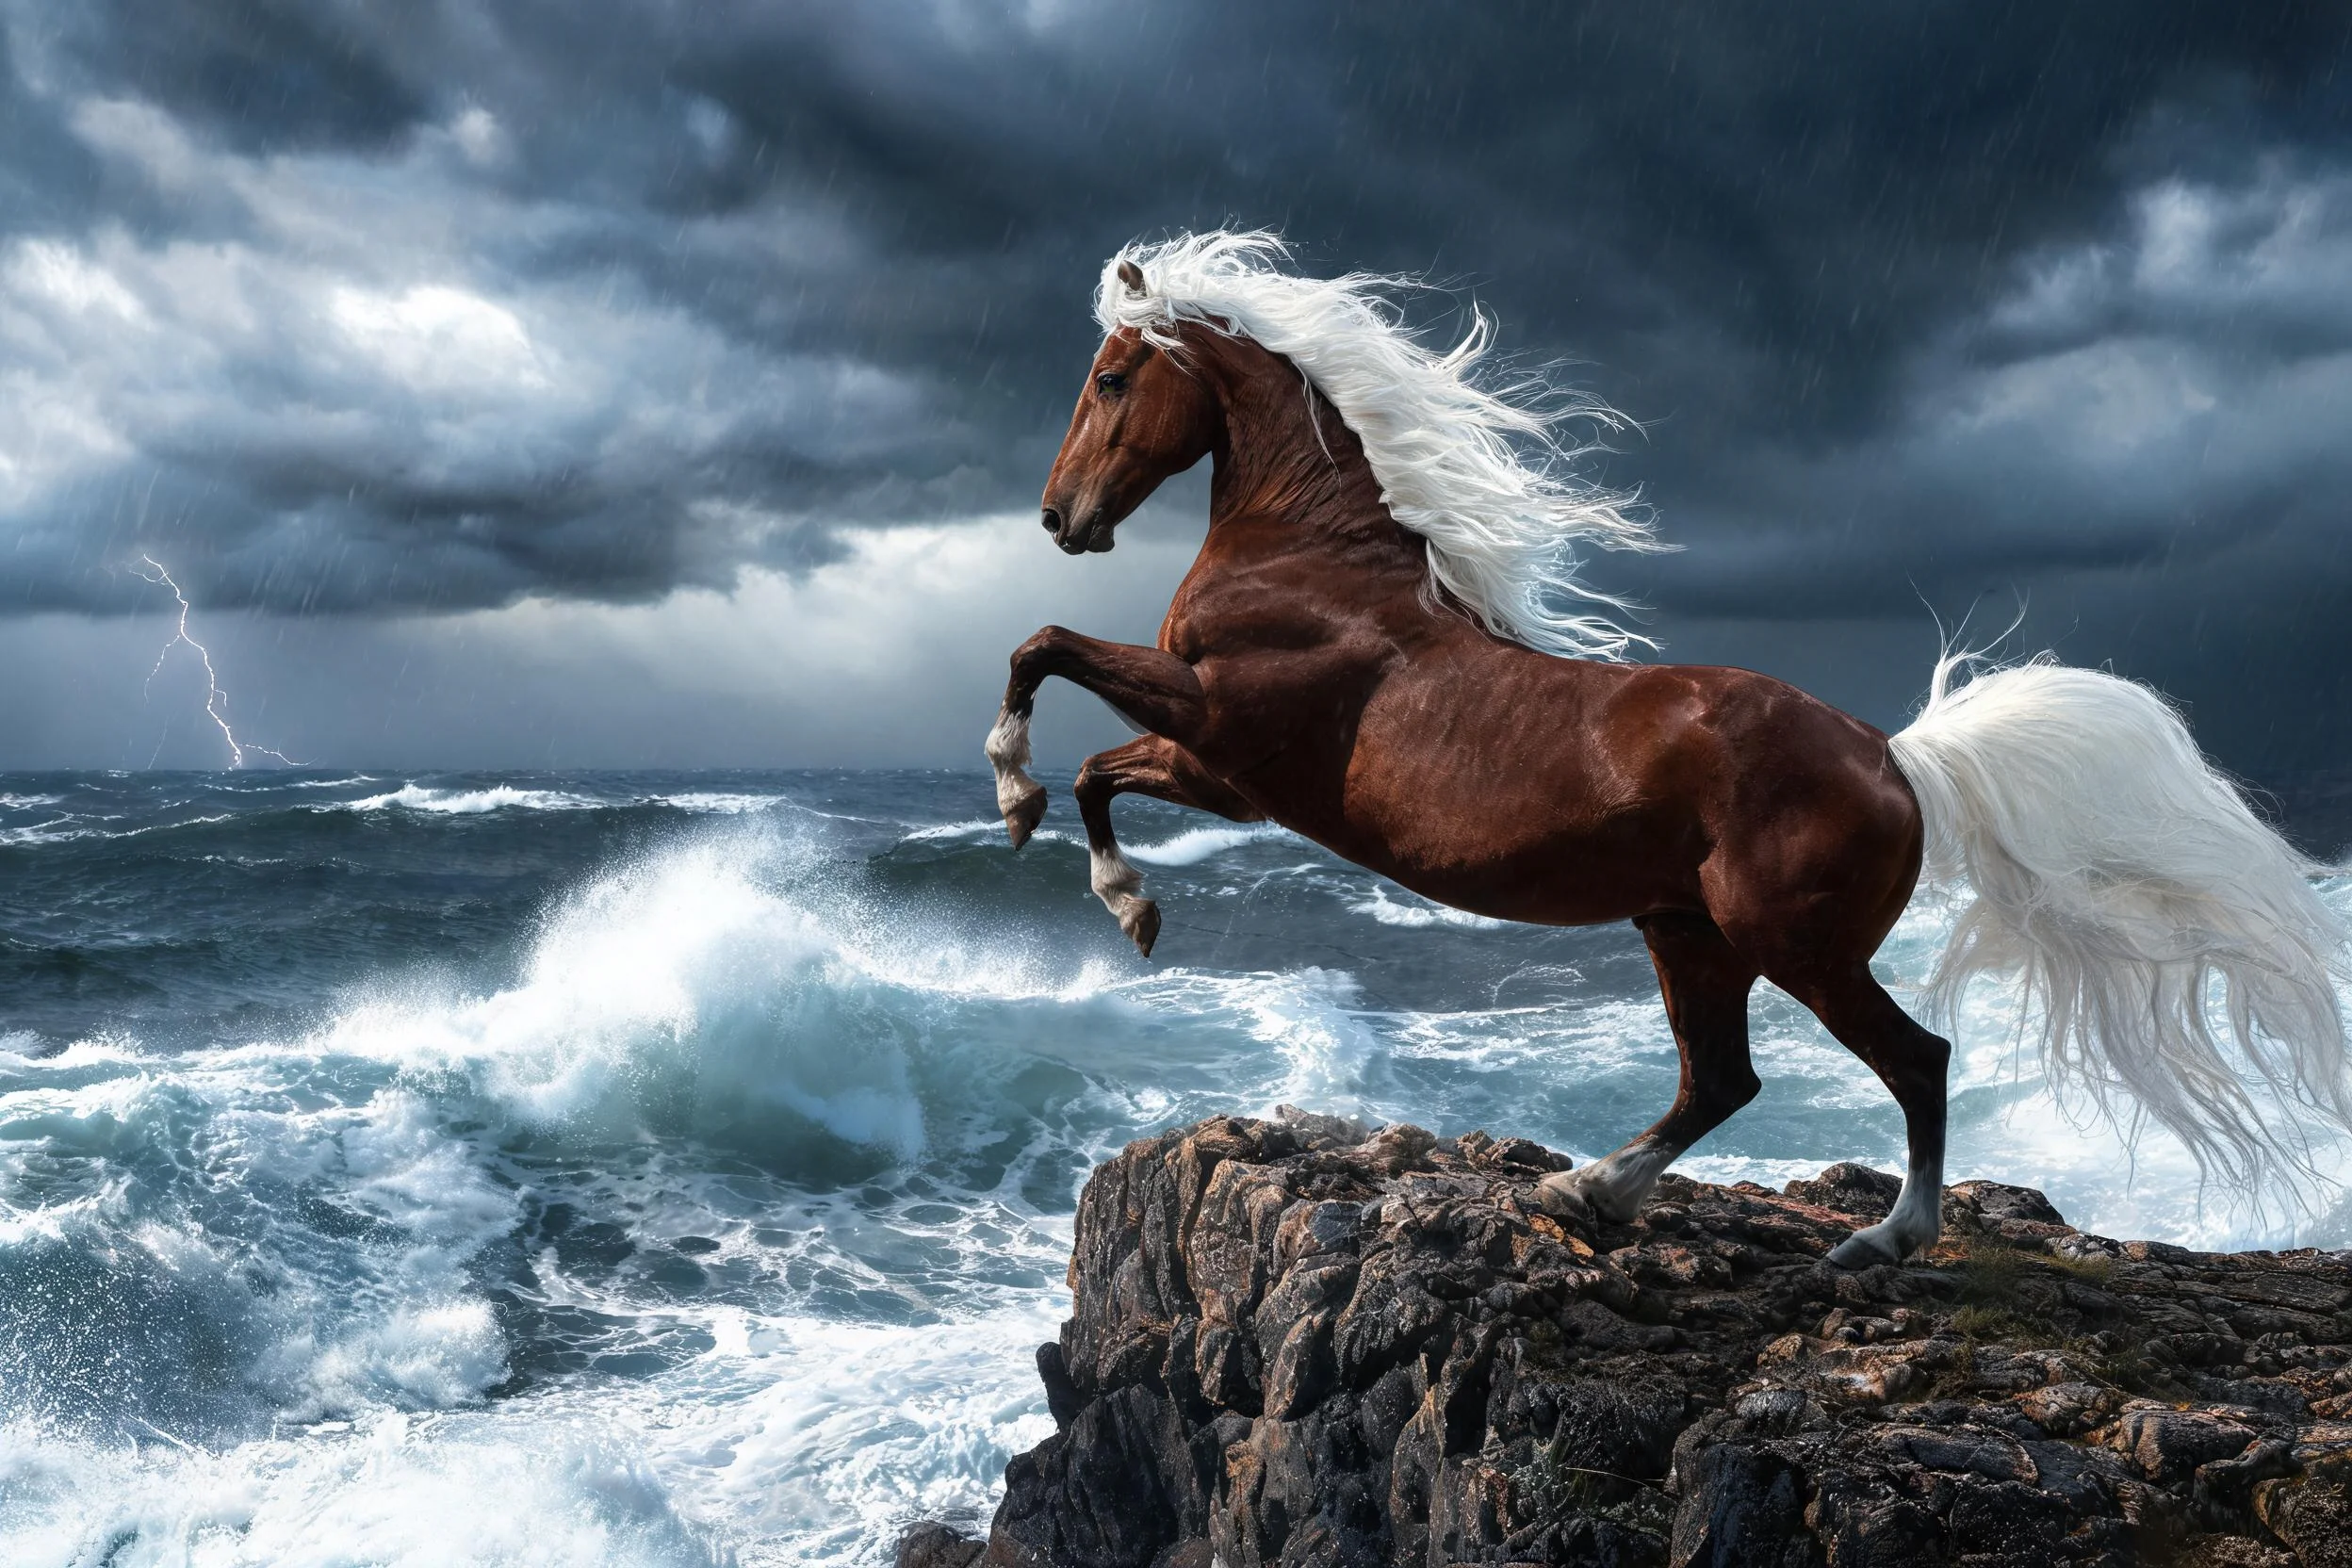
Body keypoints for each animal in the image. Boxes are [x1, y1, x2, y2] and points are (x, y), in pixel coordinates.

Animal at [983, 230, 2350, 1265]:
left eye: (1111, 379)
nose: (1056, 518)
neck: (1319, 564)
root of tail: (1897, 756)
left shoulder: (1223, 730)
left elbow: (1042, 650)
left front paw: (1026, 807)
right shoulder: (1223, 773)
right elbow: (1096, 762)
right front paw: (1122, 899)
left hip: (1789, 940)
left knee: (1915, 1058)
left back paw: (1881, 1240)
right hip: (1687, 930)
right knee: (1723, 1081)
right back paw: (1586, 1191)